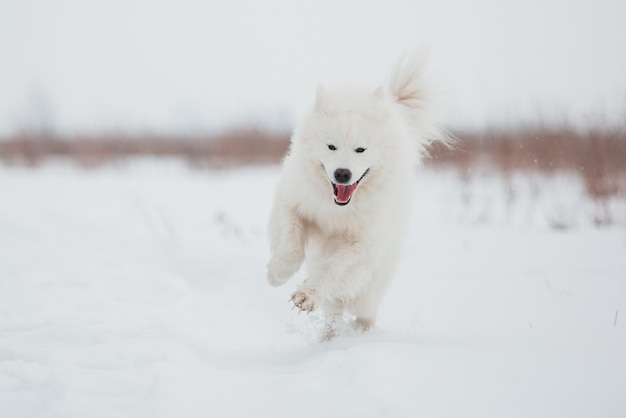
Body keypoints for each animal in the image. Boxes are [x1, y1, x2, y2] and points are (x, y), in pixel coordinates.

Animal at [264, 52, 444, 334]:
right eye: (331, 146)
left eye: (361, 149)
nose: (342, 173)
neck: (336, 208)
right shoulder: (293, 204)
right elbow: (290, 243)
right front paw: (277, 274)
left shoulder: (361, 245)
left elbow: (332, 268)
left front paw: (306, 295)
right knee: (334, 311)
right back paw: (328, 336)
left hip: (371, 288)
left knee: (363, 309)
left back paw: (360, 333)